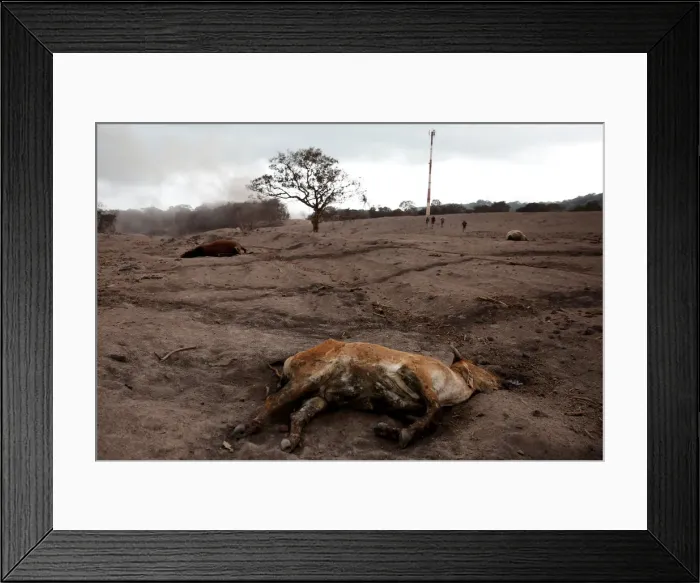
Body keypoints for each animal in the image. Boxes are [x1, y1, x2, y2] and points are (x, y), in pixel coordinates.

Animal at [229, 339, 509, 453]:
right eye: (480, 366)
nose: (503, 381)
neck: (453, 383)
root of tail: (291, 358)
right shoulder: (415, 373)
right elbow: (434, 411)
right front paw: (403, 434)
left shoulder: (405, 404)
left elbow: (427, 418)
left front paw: (390, 430)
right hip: (308, 379)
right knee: (272, 401)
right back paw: (246, 427)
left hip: (320, 398)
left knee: (298, 415)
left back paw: (292, 440)